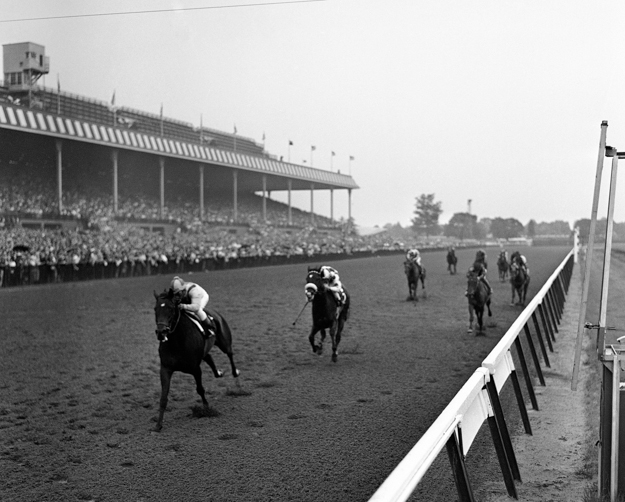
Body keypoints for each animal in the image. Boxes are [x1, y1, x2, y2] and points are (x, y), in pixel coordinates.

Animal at [151, 276, 239, 430]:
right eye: (156, 309)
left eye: (171, 308)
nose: (161, 332)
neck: (177, 341)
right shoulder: (166, 369)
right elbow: (163, 397)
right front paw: (158, 425)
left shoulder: (195, 368)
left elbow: (200, 389)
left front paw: (207, 409)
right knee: (209, 357)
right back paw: (218, 372)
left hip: (224, 342)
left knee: (230, 354)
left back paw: (235, 373)